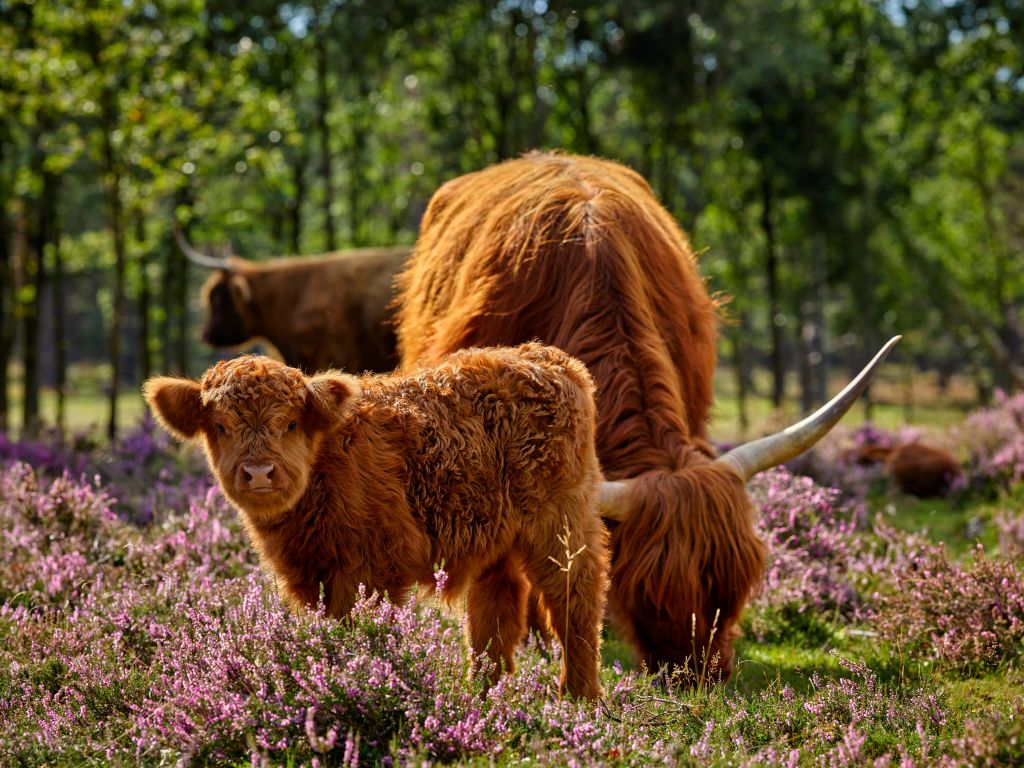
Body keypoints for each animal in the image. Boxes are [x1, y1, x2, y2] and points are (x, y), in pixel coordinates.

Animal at [144, 346, 606, 700]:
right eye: (221, 426)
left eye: (289, 423)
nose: (259, 472)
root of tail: (545, 358)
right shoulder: (311, 572)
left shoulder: (371, 568)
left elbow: (356, 628)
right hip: (497, 538)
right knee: (494, 613)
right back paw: (481, 695)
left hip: (561, 525)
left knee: (576, 602)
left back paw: (577, 699)